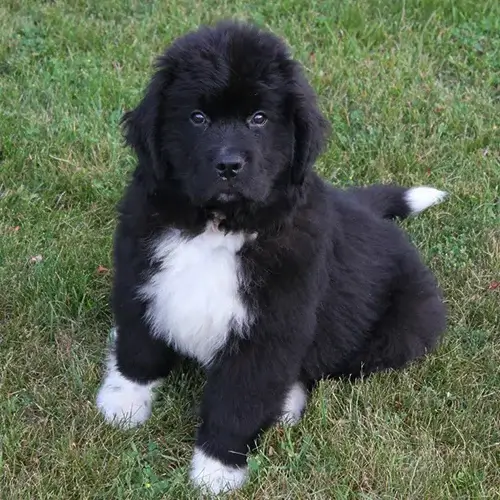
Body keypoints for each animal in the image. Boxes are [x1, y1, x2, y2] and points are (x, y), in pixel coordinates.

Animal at [95, 20, 448, 496]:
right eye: (197, 118)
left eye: (258, 119)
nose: (229, 165)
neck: (218, 228)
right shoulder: (141, 278)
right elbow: (139, 349)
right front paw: (123, 403)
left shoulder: (269, 330)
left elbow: (238, 401)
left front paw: (216, 472)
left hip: (401, 328)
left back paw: (287, 403)